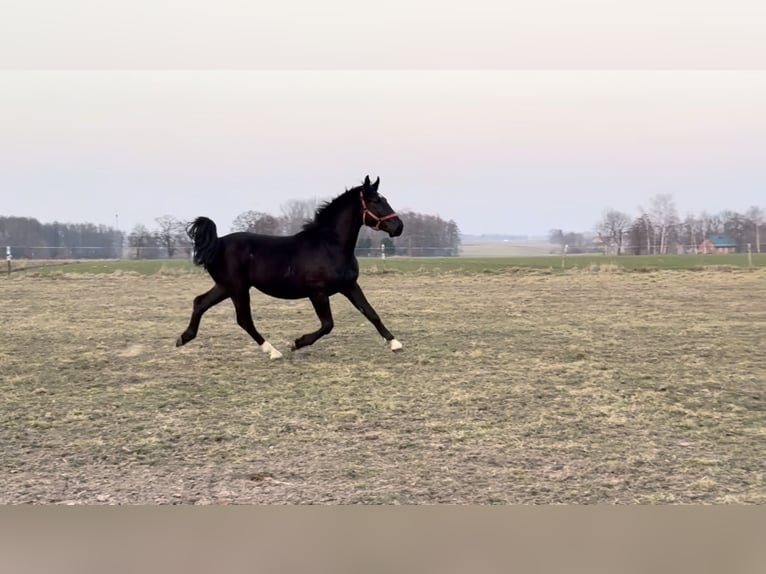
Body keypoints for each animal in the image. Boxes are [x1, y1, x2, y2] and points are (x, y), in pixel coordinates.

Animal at [176, 175, 404, 359]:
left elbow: (371, 313)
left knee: (200, 302)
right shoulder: (317, 293)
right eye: (374, 201)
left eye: (384, 199)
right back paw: (273, 351)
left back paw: (184, 338)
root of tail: (218, 242)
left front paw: (395, 343)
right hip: (237, 288)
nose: (398, 227)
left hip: (226, 287)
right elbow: (327, 325)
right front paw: (296, 343)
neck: (330, 245)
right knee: (244, 319)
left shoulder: (349, 286)